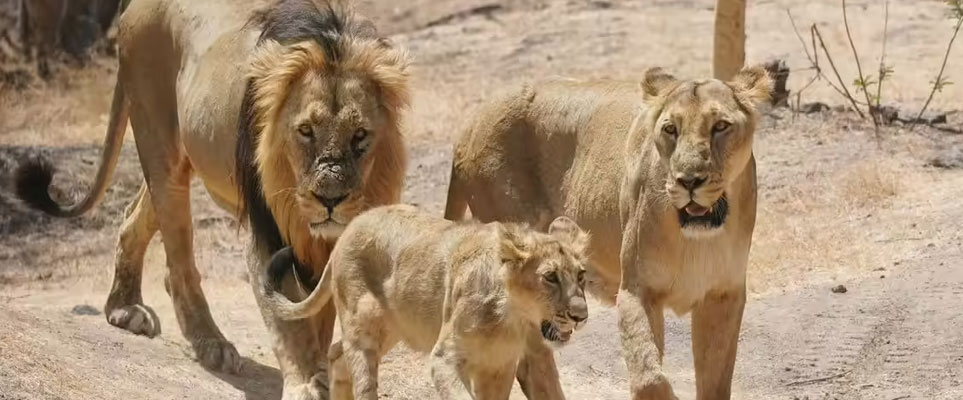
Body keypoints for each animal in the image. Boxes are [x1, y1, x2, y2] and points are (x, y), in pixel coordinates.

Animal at [13, 0, 409, 397]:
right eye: (305, 131)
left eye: (360, 135)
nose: (330, 199)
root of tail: (134, 7)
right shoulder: (267, 231)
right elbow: (289, 321)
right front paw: (306, 383)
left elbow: (319, 309)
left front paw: (323, 372)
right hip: (160, 145)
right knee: (178, 265)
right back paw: (211, 345)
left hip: (180, 160)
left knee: (132, 218)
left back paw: (124, 309)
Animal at [259, 204, 596, 400]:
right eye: (550, 277)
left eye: (581, 276)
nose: (581, 316)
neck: (514, 320)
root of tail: (349, 228)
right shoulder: (444, 359)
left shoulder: (499, 366)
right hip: (363, 324)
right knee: (358, 374)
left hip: (389, 330)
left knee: (336, 354)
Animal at [444, 65, 772, 399]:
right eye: (670, 129)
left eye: (721, 126)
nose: (688, 181)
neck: (695, 240)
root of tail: (468, 124)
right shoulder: (635, 290)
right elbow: (648, 376)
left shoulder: (722, 296)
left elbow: (715, 381)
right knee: (531, 360)